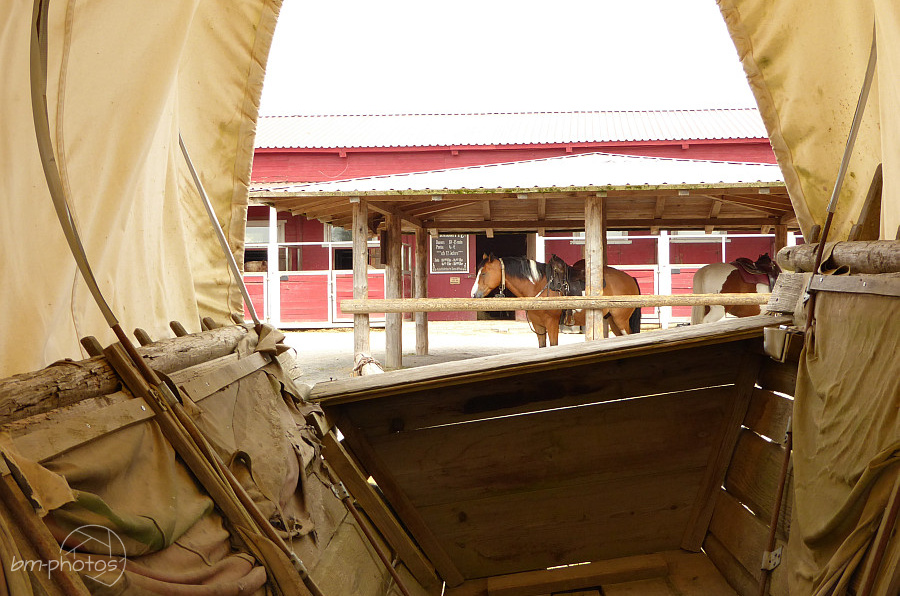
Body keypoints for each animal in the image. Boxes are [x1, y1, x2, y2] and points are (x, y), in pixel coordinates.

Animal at [471, 253, 640, 348]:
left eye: (484, 273)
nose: (473, 294)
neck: (538, 285)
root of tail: (630, 278)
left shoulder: (551, 324)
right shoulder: (539, 326)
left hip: (621, 320)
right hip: (612, 320)